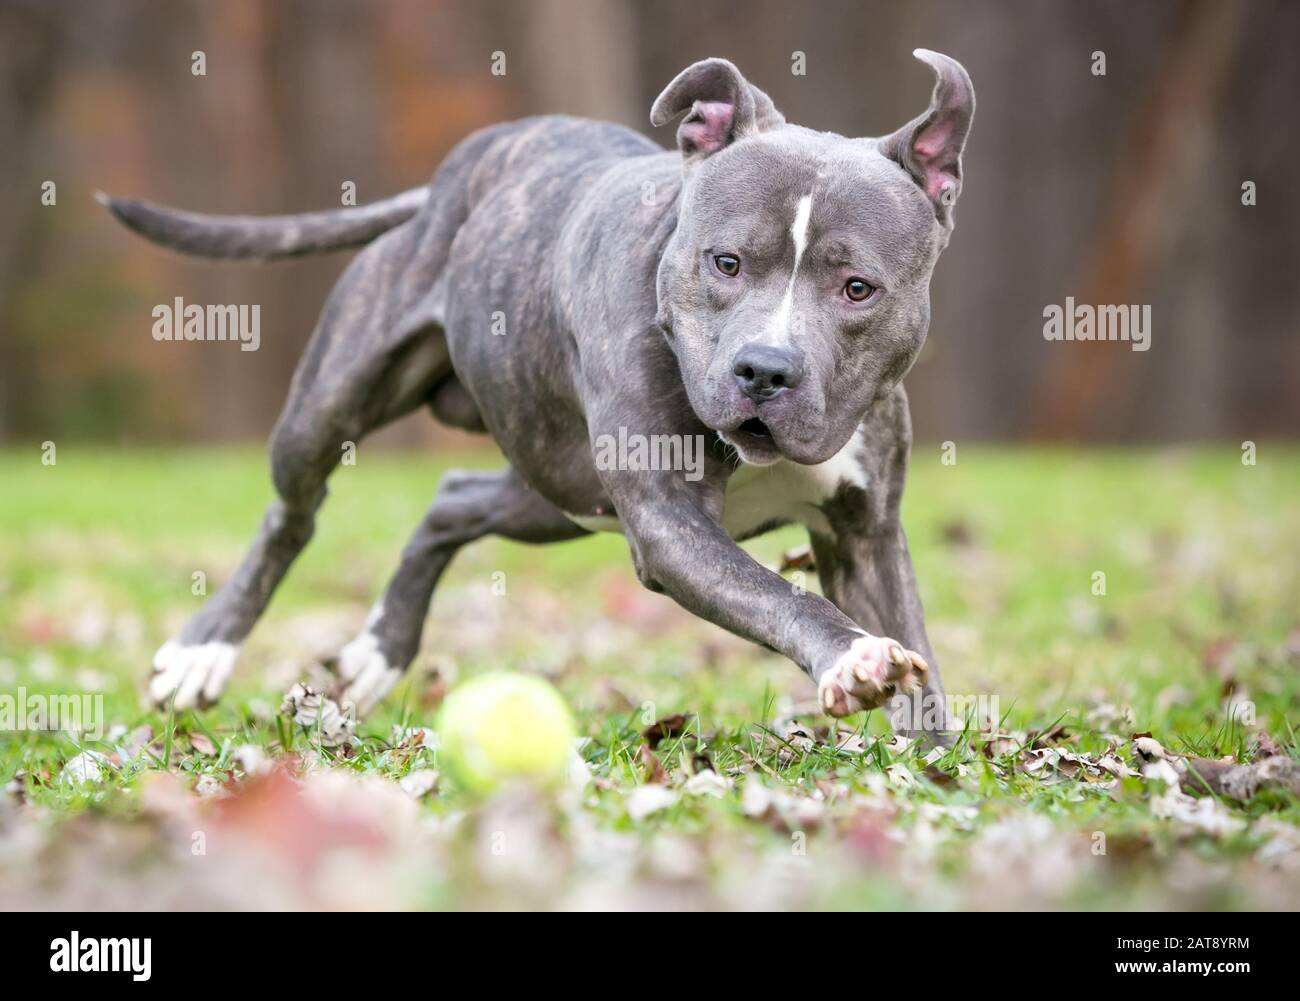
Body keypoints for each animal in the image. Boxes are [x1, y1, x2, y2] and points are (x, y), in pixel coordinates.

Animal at [104, 50, 977, 738]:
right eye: (725, 262)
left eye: (857, 287)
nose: (764, 369)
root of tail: (451, 176)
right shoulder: (669, 524)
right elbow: (778, 593)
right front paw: (853, 657)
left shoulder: (865, 535)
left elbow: (922, 669)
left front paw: (938, 771)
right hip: (332, 410)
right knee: (293, 511)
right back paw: (203, 649)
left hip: (560, 491)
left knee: (452, 500)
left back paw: (382, 649)